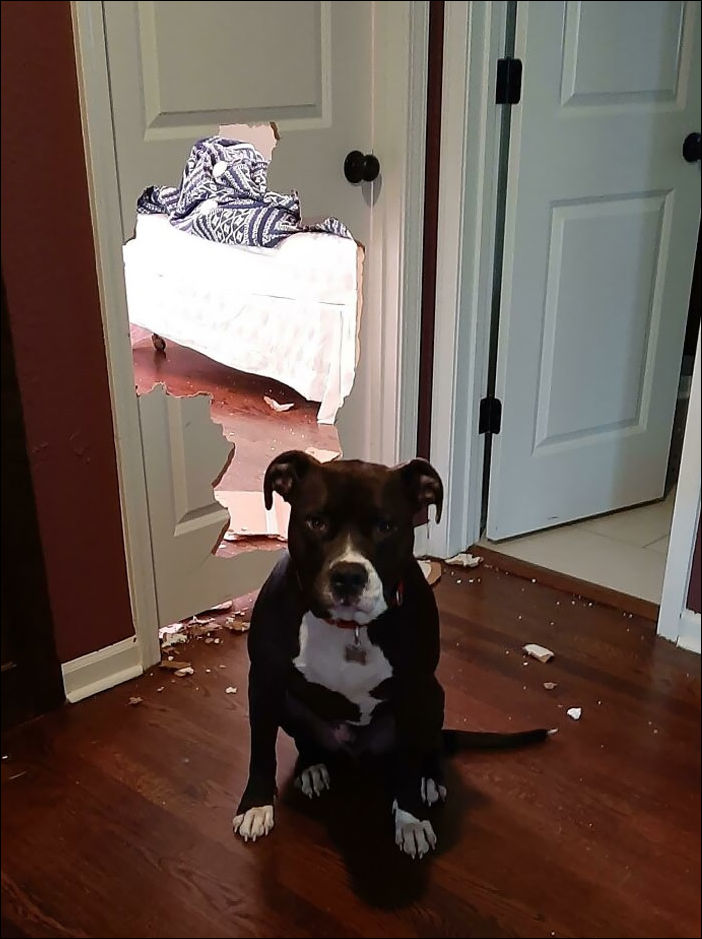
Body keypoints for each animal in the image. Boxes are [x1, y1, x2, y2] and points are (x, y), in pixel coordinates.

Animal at [233, 451, 552, 858]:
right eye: (316, 522)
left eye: (386, 526)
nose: (348, 576)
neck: (349, 627)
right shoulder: (264, 681)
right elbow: (261, 749)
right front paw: (256, 805)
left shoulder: (415, 691)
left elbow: (409, 763)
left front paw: (411, 818)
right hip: (291, 704)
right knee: (307, 740)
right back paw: (312, 766)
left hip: (434, 697)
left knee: (427, 748)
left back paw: (429, 780)